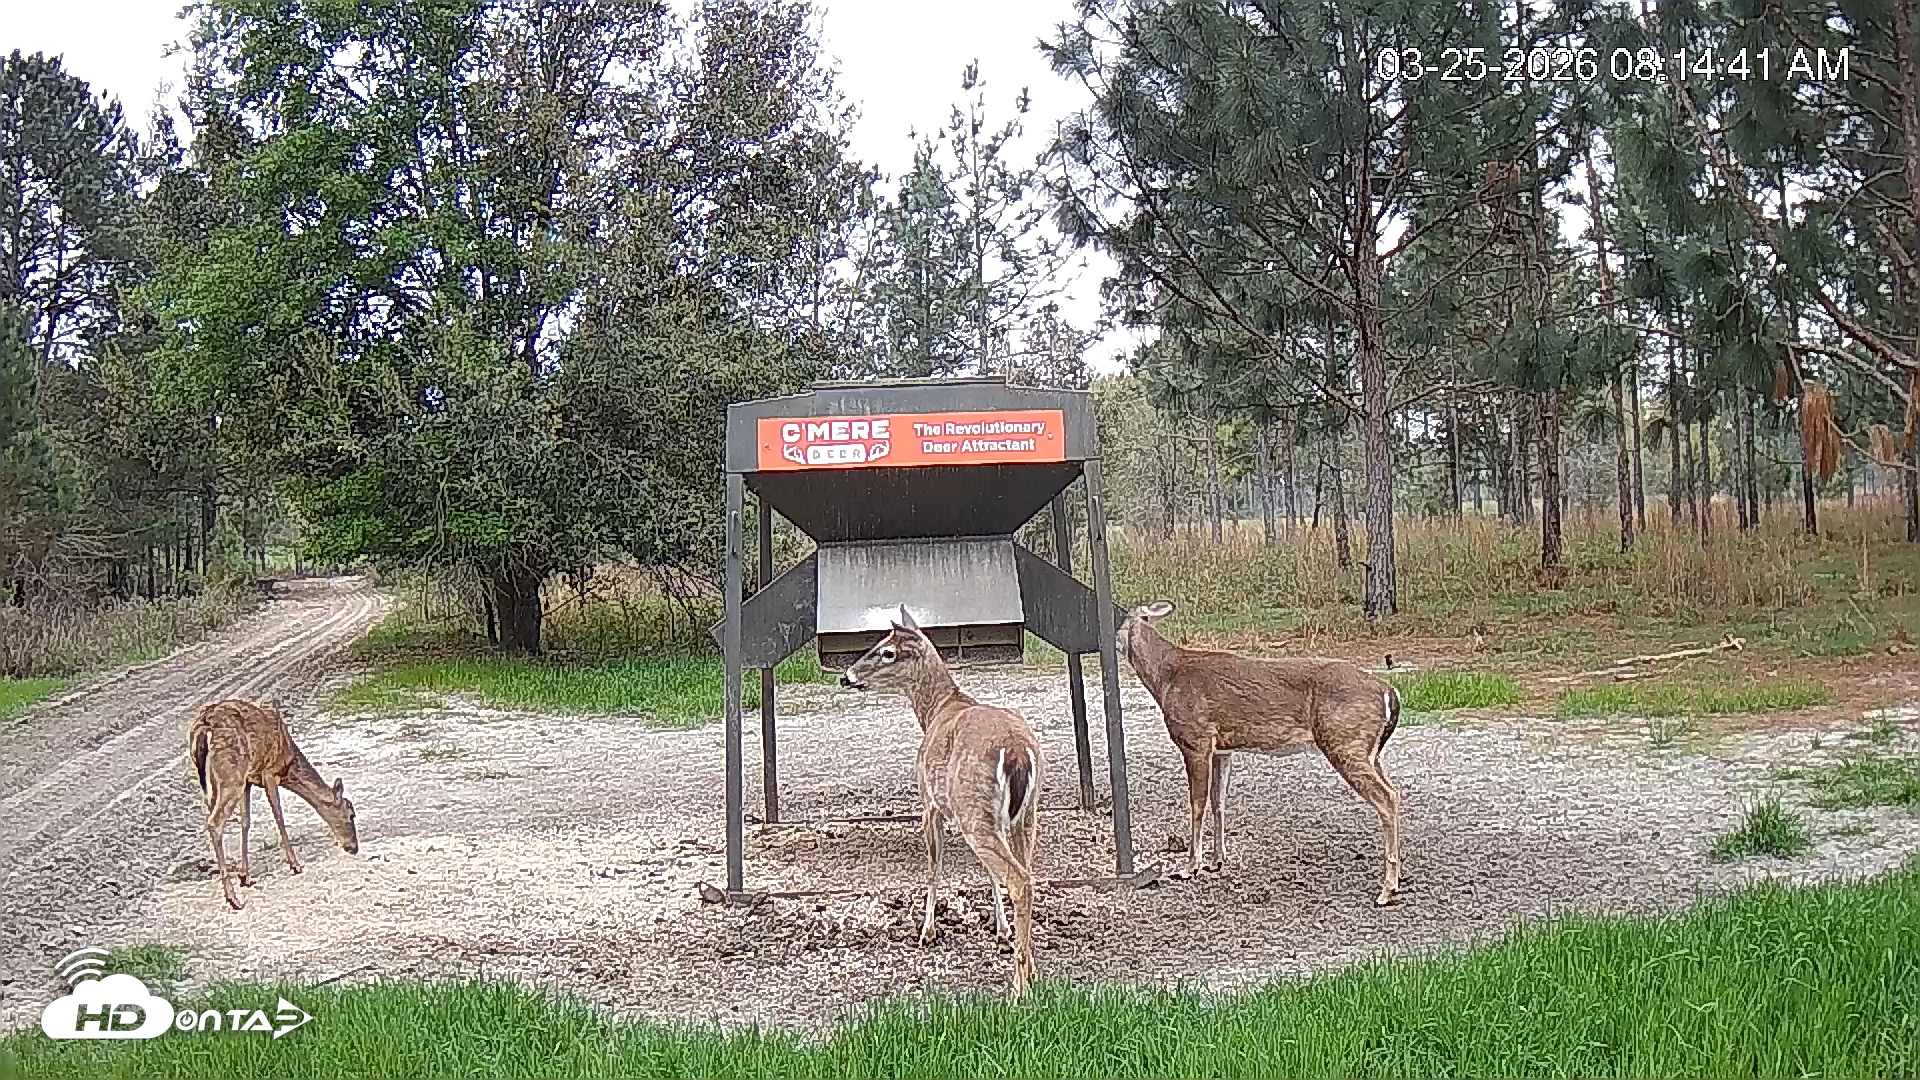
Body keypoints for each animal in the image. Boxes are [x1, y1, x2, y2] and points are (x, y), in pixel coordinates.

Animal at [187, 699, 359, 910]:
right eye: (351, 813)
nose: (354, 848)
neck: (289, 762)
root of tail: (206, 725)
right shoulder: (269, 772)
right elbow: (279, 816)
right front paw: (295, 865)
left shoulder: (249, 780)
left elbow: (246, 821)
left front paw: (245, 876)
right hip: (232, 774)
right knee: (214, 822)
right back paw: (233, 899)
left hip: (213, 781)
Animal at [839, 606, 1045, 996]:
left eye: (887, 651)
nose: (846, 677)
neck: (938, 710)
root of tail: (1016, 751)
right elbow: (986, 873)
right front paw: (1001, 930)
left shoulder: (930, 805)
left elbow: (934, 867)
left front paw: (927, 931)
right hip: (1022, 814)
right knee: (1026, 873)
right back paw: (1032, 970)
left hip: (973, 811)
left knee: (1020, 880)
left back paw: (1018, 989)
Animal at [1118, 600, 1404, 906]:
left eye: (1118, 620)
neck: (1165, 678)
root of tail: (1388, 691)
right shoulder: (1222, 749)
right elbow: (1218, 801)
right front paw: (1217, 860)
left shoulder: (1196, 740)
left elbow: (1197, 804)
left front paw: (1190, 867)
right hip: (1368, 750)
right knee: (1394, 792)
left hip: (1345, 740)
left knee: (1386, 798)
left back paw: (1386, 890)